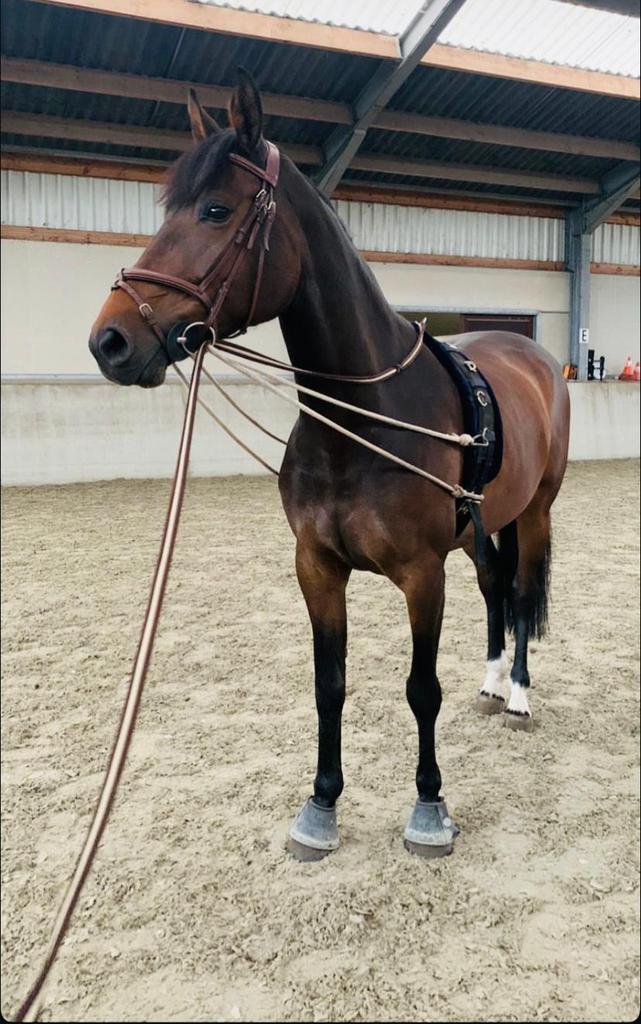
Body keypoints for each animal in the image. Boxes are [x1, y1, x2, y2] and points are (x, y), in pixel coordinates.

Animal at [89, 70, 570, 860]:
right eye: (167, 211)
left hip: (534, 511)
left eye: (215, 209)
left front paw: (429, 806)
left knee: (524, 591)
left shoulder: (421, 574)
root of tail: (534, 355)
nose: (110, 340)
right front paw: (321, 805)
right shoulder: (316, 565)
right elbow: (329, 684)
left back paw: (521, 692)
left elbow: (420, 689)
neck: (362, 419)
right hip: (478, 529)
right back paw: (494, 679)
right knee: (497, 589)